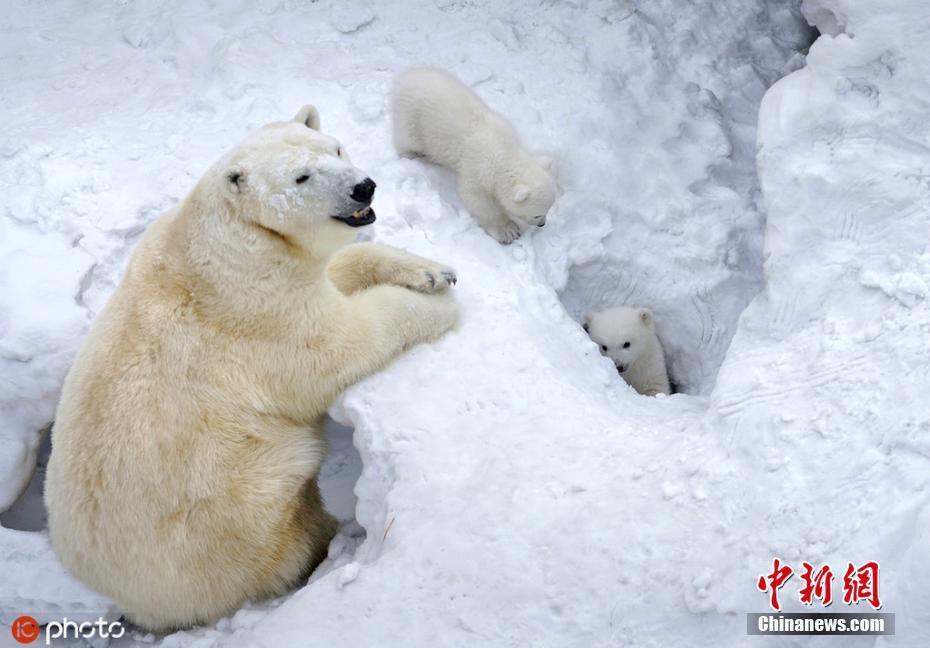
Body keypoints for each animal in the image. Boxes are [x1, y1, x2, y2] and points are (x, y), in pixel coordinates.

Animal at [43, 106, 456, 632]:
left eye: (335, 149)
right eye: (301, 177)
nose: (363, 187)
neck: (232, 240)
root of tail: (127, 599)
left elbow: (341, 267)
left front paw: (432, 270)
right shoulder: (256, 305)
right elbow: (337, 344)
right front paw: (441, 306)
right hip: (237, 511)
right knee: (286, 529)